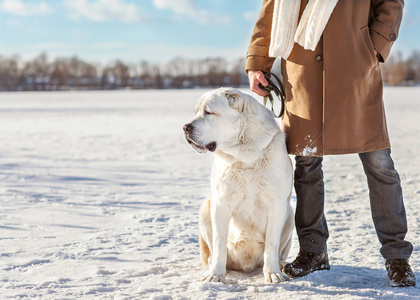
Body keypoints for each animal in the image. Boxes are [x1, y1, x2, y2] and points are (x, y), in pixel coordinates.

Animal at [182, 87, 294, 284]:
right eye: (196, 112)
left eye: (208, 112)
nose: (185, 127)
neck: (245, 156)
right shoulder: (220, 204)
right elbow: (219, 243)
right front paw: (216, 275)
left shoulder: (277, 205)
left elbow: (271, 244)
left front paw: (272, 273)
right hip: (205, 208)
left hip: (291, 215)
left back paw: (281, 266)